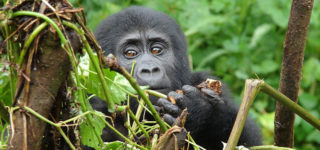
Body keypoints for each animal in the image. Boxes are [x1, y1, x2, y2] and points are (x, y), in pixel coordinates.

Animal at [91, 5, 262, 149]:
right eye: (131, 53)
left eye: (156, 50)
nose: (150, 69)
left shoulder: (205, 80)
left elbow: (245, 139)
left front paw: (198, 110)